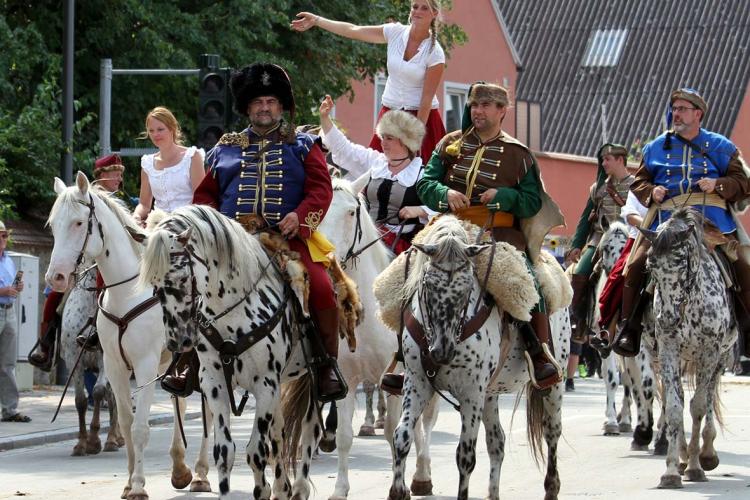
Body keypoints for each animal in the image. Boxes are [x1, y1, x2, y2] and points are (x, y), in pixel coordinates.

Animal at [59, 266, 123, 458]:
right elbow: (81, 400)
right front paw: (81, 443)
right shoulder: (74, 360)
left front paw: (94, 441)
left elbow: (98, 392)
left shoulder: (106, 361)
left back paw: (113, 439)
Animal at [384, 216, 568, 500]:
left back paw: (551, 487)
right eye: (427, 285)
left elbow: (465, 456)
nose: (442, 352)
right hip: (490, 393)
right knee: (497, 442)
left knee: (552, 431)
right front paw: (397, 490)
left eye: (467, 287)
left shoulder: (471, 392)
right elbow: (402, 436)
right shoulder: (416, 383)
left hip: (554, 383)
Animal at [640, 207, 740, 488]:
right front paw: (672, 470)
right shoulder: (668, 349)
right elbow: (675, 407)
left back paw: (707, 453)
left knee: (708, 396)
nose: (666, 318)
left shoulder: (711, 351)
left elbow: (698, 406)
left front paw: (696, 465)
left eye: (681, 262)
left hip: (721, 357)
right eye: (650, 265)